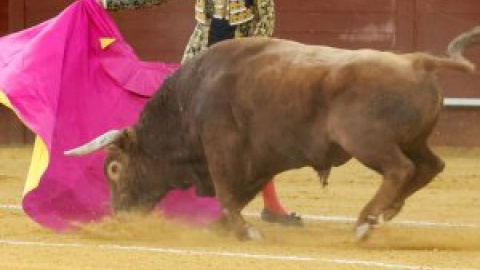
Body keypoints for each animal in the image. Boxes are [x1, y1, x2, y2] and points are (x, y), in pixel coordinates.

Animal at [64, 25, 480, 240]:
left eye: (114, 168)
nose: (119, 215)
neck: (190, 99)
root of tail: (418, 61)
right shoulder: (260, 161)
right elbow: (241, 194)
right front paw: (223, 227)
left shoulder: (221, 149)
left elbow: (228, 192)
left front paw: (242, 230)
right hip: (414, 140)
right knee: (430, 166)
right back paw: (386, 212)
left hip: (367, 141)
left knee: (400, 169)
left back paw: (365, 222)